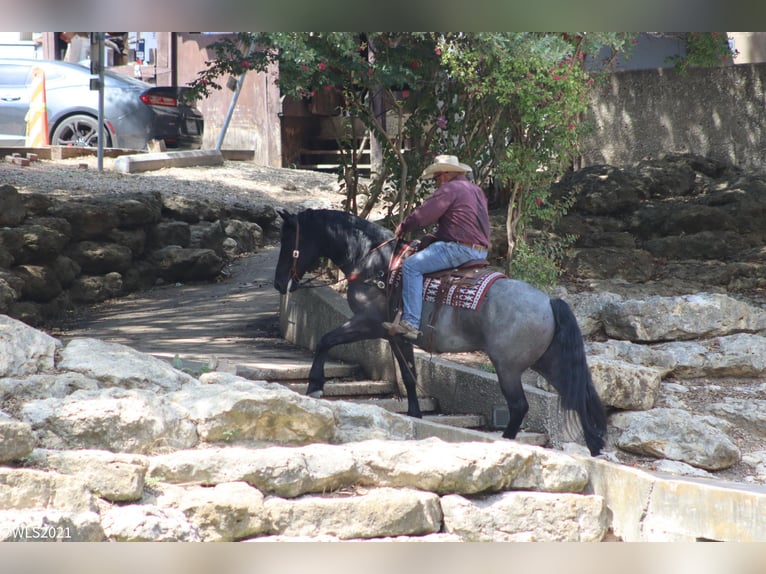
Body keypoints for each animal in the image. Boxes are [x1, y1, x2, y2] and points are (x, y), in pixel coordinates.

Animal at [272, 209, 608, 456]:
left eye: (288, 243)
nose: (278, 283)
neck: (375, 264)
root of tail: (548, 301)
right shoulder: (396, 335)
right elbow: (408, 375)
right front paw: (415, 413)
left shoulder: (367, 323)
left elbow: (325, 340)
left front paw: (315, 384)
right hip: (549, 362)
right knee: (580, 398)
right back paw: (594, 447)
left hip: (508, 367)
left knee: (519, 406)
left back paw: (506, 440)